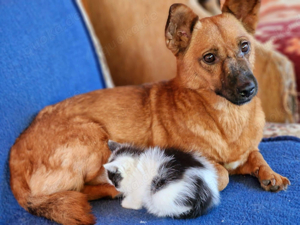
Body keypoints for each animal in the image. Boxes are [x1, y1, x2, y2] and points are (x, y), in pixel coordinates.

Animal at [9, 0, 290, 224]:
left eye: (245, 47)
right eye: (209, 58)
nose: (249, 88)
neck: (227, 116)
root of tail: (14, 158)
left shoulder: (247, 151)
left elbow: (256, 156)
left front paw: (270, 175)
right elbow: (222, 174)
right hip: (93, 137)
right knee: (79, 189)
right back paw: (114, 190)